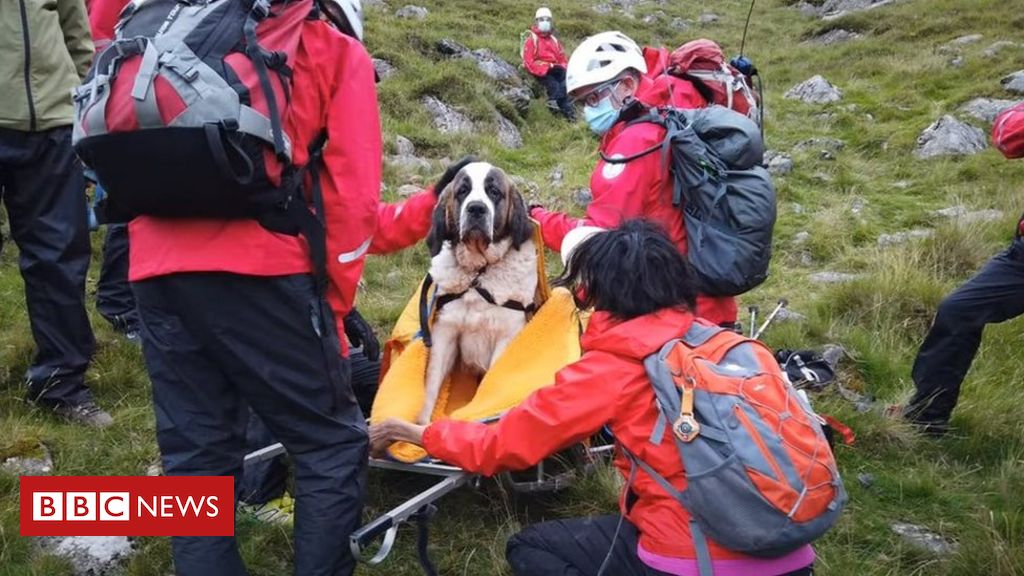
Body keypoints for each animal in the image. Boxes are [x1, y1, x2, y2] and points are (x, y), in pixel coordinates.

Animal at [419, 159, 540, 422]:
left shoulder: (507, 335)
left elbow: (491, 384)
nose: (476, 208)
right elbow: (431, 384)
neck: (478, 274)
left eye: (493, 191)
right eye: (462, 191)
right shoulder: (445, 330)